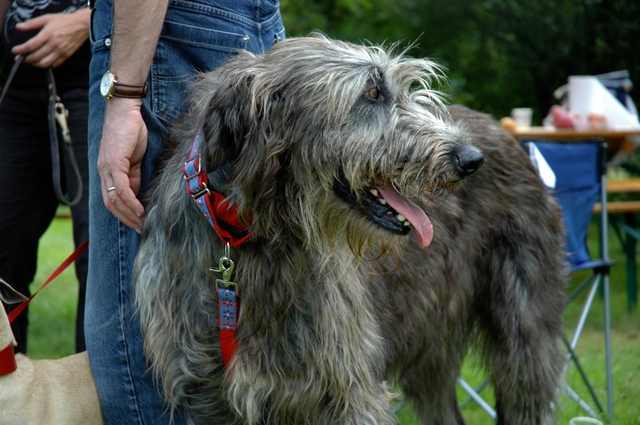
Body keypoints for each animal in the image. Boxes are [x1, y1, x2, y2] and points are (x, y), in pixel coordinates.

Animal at [134, 35, 564, 424]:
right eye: (371, 93)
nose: (470, 159)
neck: (255, 242)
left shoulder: (347, 388)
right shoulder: (207, 395)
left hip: (524, 332)